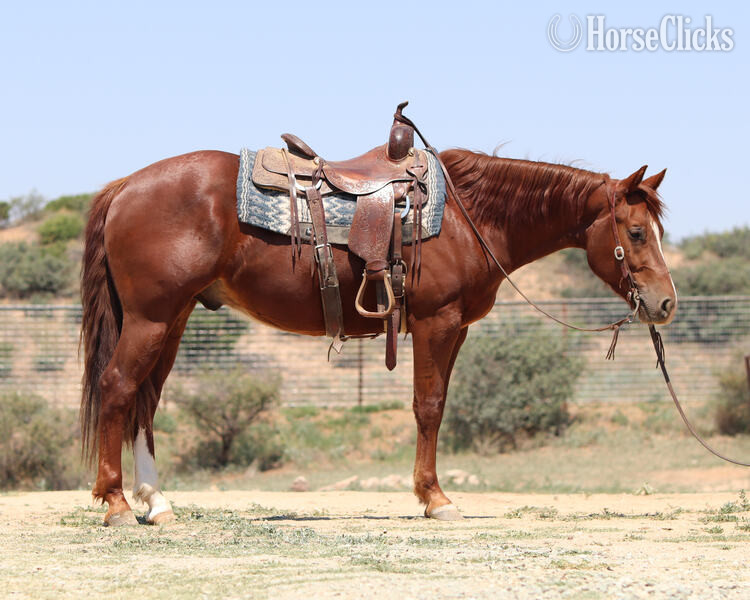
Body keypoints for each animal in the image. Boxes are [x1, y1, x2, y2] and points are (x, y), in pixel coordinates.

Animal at [80, 146, 676, 526]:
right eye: (636, 232)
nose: (666, 303)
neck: (470, 217)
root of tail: (125, 187)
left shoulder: (455, 330)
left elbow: (436, 405)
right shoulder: (438, 322)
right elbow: (428, 406)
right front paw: (435, 499)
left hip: (173, 318)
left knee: (145, 401)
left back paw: (157, 503)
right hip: (152, 319)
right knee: (117, 388)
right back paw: (117, 504)